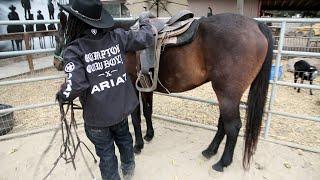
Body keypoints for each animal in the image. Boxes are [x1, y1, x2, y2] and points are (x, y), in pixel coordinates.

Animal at [54, 13, 272, 172]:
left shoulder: (132, 84)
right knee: (223, 125)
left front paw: (138, 145)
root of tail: (255, 25)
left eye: (59, 36)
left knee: (232, 126)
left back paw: (222, 162)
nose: (57, 63)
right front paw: (149, 135)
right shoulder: (145, 84)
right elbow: (148, 110)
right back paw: (210, 151)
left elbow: (135, 117)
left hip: (227, 93)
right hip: (227, 94)